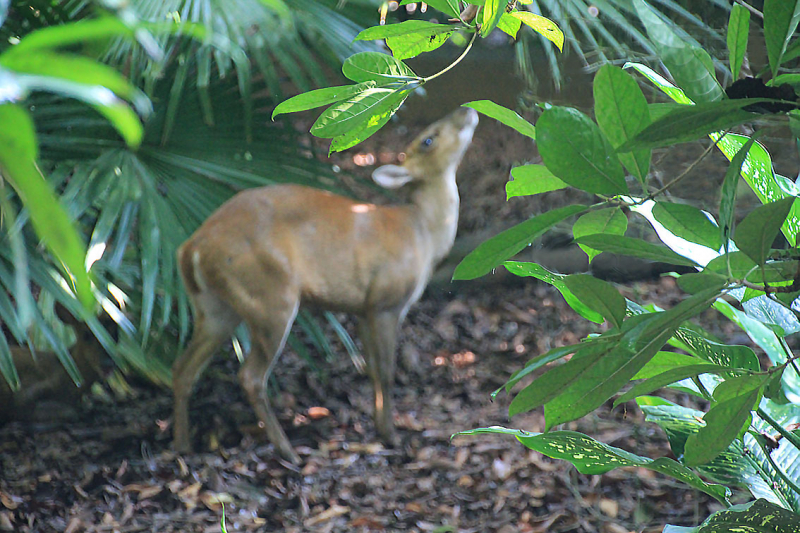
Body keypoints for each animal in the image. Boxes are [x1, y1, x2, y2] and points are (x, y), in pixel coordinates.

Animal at [172, 107, 478, 462]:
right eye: (428, 139)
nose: (467, 110)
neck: (423, 234)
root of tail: (192, 248)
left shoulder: (363, 308)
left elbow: (372, 370)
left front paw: (379, 429)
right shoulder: (386, 300)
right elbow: (387, 372)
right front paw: (391, 435)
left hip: (215, 307)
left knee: (183, 369)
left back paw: (182, 445)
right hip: (270, 296)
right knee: (250, 376)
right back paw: (288, 451)